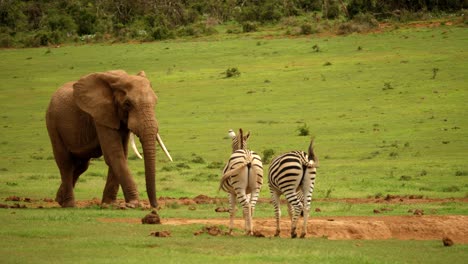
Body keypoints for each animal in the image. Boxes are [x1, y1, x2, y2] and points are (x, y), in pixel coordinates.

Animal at [45, 69, 172, 208]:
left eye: (155, 102)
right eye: (127, 104)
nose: (155, 206)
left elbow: (121, 154)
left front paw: (109, 204)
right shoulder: (100, 115)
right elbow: (115, 154)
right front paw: (133, 204)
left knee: (81, 165)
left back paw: (59, 200)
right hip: (53, 124)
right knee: (65, 163)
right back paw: (69, 204)